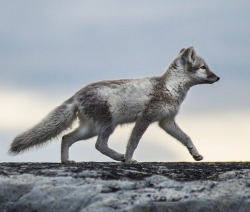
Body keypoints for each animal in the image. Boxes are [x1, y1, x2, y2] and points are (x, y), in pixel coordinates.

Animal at [9, 47, 219, 163]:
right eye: (203, 67)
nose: (217, 77)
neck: (170, 87)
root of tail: (77, 94)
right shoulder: (146, 118)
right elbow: (133, 142)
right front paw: (129, 160)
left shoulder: (166, 121)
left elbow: (186, 137)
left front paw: (196, 154)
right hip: (108, 125)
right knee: (99, 145)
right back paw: (119, 157)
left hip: (90, 129)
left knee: (66, 138)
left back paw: (66, 161)